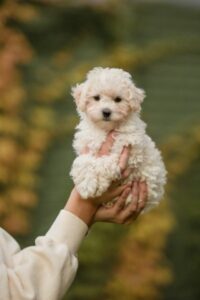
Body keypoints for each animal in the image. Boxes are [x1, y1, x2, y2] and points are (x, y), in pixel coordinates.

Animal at [69, 67, 166, 213]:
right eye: (96, 98)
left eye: (118, 99)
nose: (106, 112)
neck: (106, 129)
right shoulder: (86, 146)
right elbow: (83, 162)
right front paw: (87, 184)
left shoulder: (131, 150)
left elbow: (106, 161)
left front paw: (99, 182)